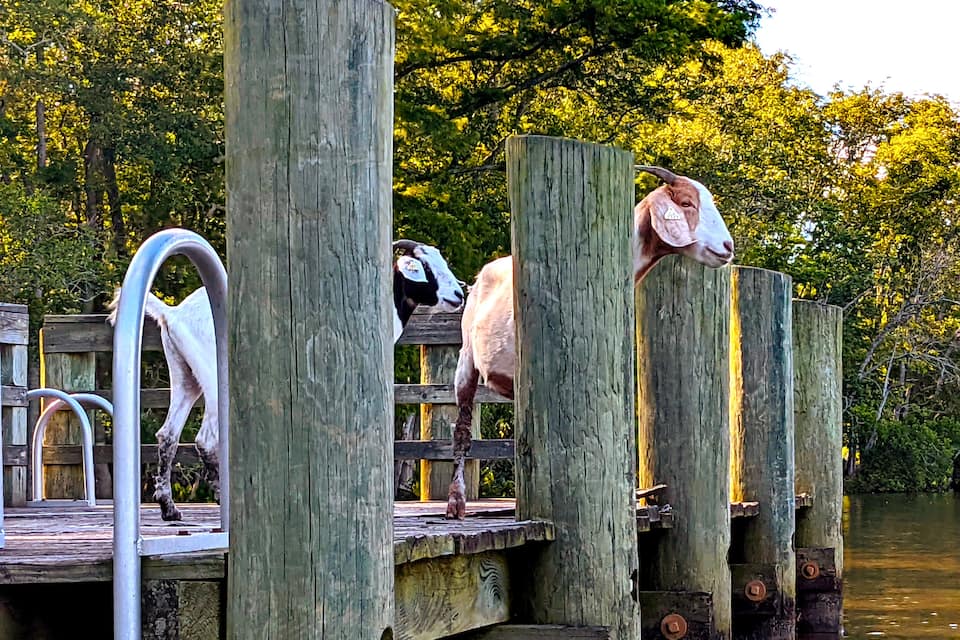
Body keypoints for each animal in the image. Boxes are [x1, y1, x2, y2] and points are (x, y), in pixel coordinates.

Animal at [108, 239, 464, 521]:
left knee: (167, 435)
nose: (458, 294)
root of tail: (174, 314)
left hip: (185, 377)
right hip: (213, 375)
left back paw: (169, 507)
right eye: (425, 268)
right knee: (206, 439)